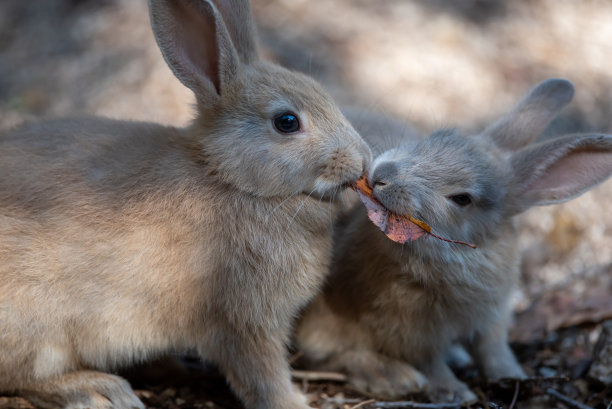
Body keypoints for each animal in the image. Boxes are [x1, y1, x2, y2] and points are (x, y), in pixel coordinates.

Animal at [0, 0, 370, 408]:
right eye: (287, 121)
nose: (363, 160)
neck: (231, 179)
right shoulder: (243, 321)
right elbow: (262, 375)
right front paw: (292, 402)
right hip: (38, 330)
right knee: (22, 377)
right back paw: (100, 389)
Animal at [296, 79, 612, 402]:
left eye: (462, 199)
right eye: (433, 137)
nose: (382, 174)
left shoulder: (491, 319)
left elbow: (493, 351)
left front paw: (512, 376)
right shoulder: (412, 334)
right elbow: (430, 363)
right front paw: (455, 393)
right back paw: (394, 379)